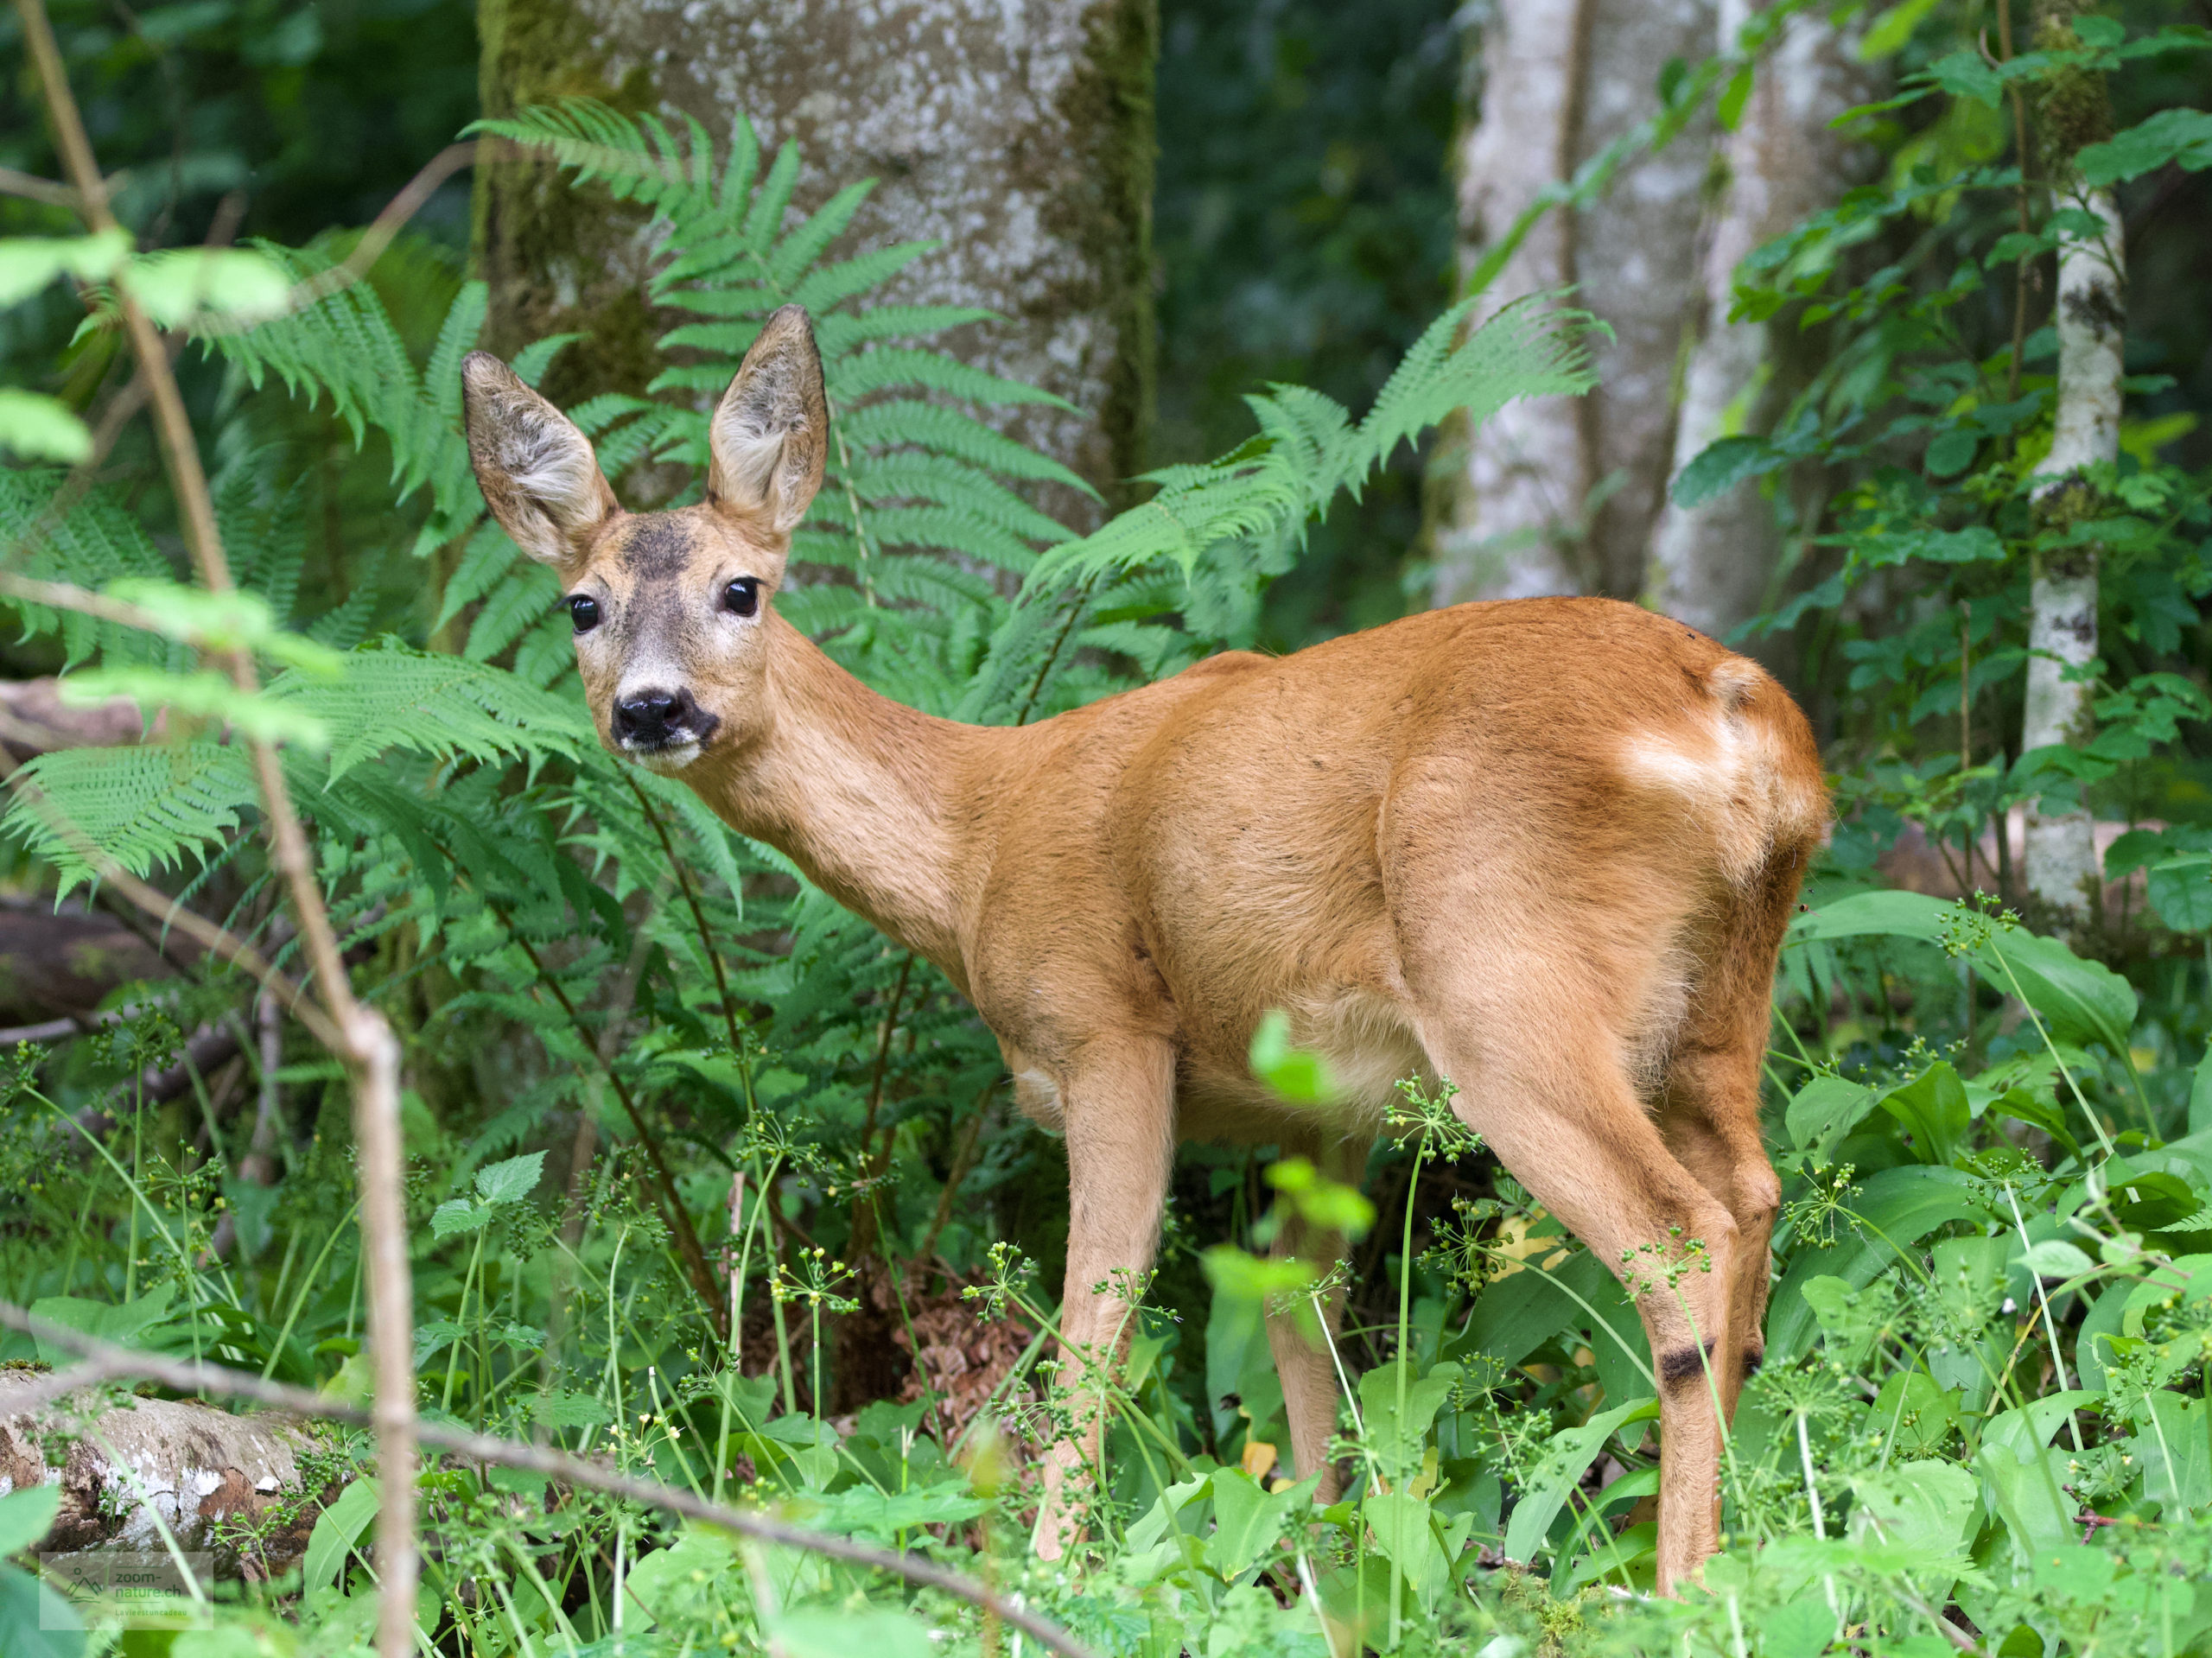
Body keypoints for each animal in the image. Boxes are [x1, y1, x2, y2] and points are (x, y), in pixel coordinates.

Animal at [457, 302, 1822, 1600]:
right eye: (584, 605)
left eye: (742, 588)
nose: (653, 706)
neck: (978, 842)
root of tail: (1739, 716)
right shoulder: (1312, 1101)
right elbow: (1297, 1311)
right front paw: (1326, 1562)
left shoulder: (1102, 1025)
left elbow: (1093, 1323)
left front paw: (1055, 1568)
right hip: (1713, 999)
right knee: (1755, 1196)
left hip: (1503, 976)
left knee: (1682, 1230)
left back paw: (1679, 1580)